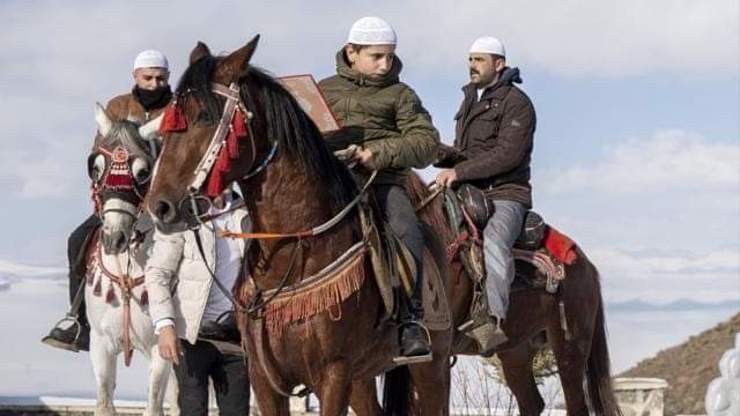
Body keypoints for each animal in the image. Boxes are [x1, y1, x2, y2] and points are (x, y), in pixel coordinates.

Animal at [84, 104, 178, 416]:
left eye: (143, 172)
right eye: (96, 167)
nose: (115, 238)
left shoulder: (161, 347)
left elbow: (154, 403)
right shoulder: (100, 344)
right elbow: (104, 400)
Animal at [145, 37, 455, 415]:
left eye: (205, 116)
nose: (160, 206)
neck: (293, 248)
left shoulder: (333, 374)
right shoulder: (265, 379)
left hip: (432, 368)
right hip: (363, 380)